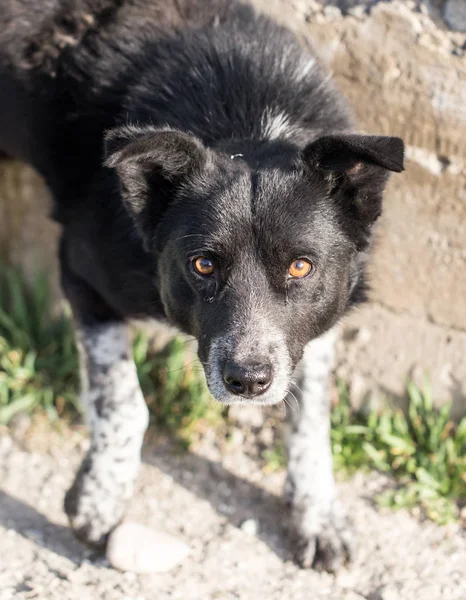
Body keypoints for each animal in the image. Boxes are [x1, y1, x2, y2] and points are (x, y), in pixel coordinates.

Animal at [0, 0, 402, 572]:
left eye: (301, 267)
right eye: (204, 265)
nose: (248, 381)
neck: (248, 123)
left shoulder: (320, 320)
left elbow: (310, 414)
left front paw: (318, 512)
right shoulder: (83, 277)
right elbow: (122, 399)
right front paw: (101, 500)